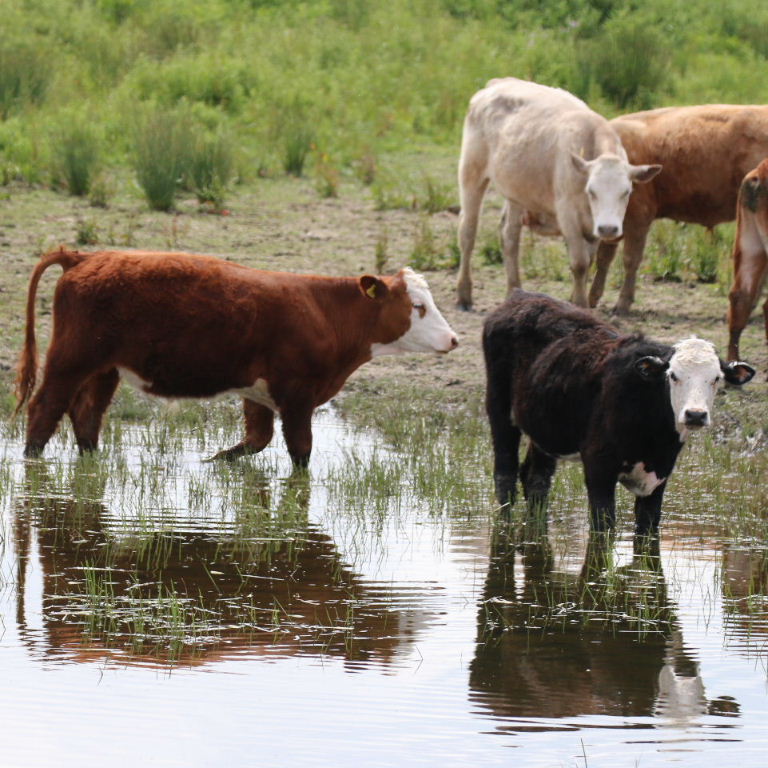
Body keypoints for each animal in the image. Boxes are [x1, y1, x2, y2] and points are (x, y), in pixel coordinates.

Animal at [15, 247, 458, 464]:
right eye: (418, 305)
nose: (453, 339)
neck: (324, 312)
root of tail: (85, 257)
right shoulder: (297, 395)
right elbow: (299, 452)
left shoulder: (258, 392)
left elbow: (255, 440)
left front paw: (213, 462)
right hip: (72, 358)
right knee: (45, 409)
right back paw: (31, 461)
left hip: (105, 367)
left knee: (87, 414)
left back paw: (92, 461)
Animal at [455, 77, 661, 310]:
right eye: (591, 191)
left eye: (626, 191)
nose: (608, 228)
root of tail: (497, 83)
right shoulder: (568, 215)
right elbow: (579, 263)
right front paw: (579, 304)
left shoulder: (593, 226)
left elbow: (589, 260)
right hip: (471, 173)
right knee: (468, 233)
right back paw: (464, 293)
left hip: (516, 192)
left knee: (509, 237)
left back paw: (513, 291)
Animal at [483, 290, 755, 534]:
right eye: (673, 375)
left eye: (716, 378)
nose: (695, 414)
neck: (655, 437)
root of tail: (521, 296)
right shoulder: (598, 465)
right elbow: (603, 525)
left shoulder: (660, 475)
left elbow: (648, 527)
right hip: (498, 408)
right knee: (505, 476)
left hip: (545, 428)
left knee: (536, 479)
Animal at [589, 104, 768, 315]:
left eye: (624, 190)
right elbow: (604, 258)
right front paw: (592, 297)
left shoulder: (639, 218)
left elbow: (630, 259)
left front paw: (623, 303)